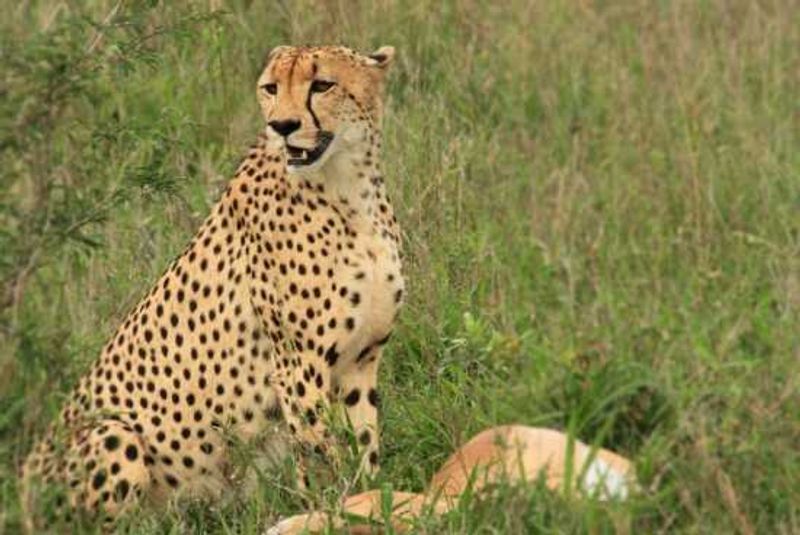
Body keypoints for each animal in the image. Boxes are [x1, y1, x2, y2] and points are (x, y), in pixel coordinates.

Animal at [20, 44, 403, 530]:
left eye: (322, 84)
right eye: (270, 88)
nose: (282, 126)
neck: (348, 189)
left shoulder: (361, 358)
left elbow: (364, 446)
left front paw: (369, 497)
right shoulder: (298, 364)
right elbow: (319, 452)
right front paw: (329, 507)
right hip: (112, 431)